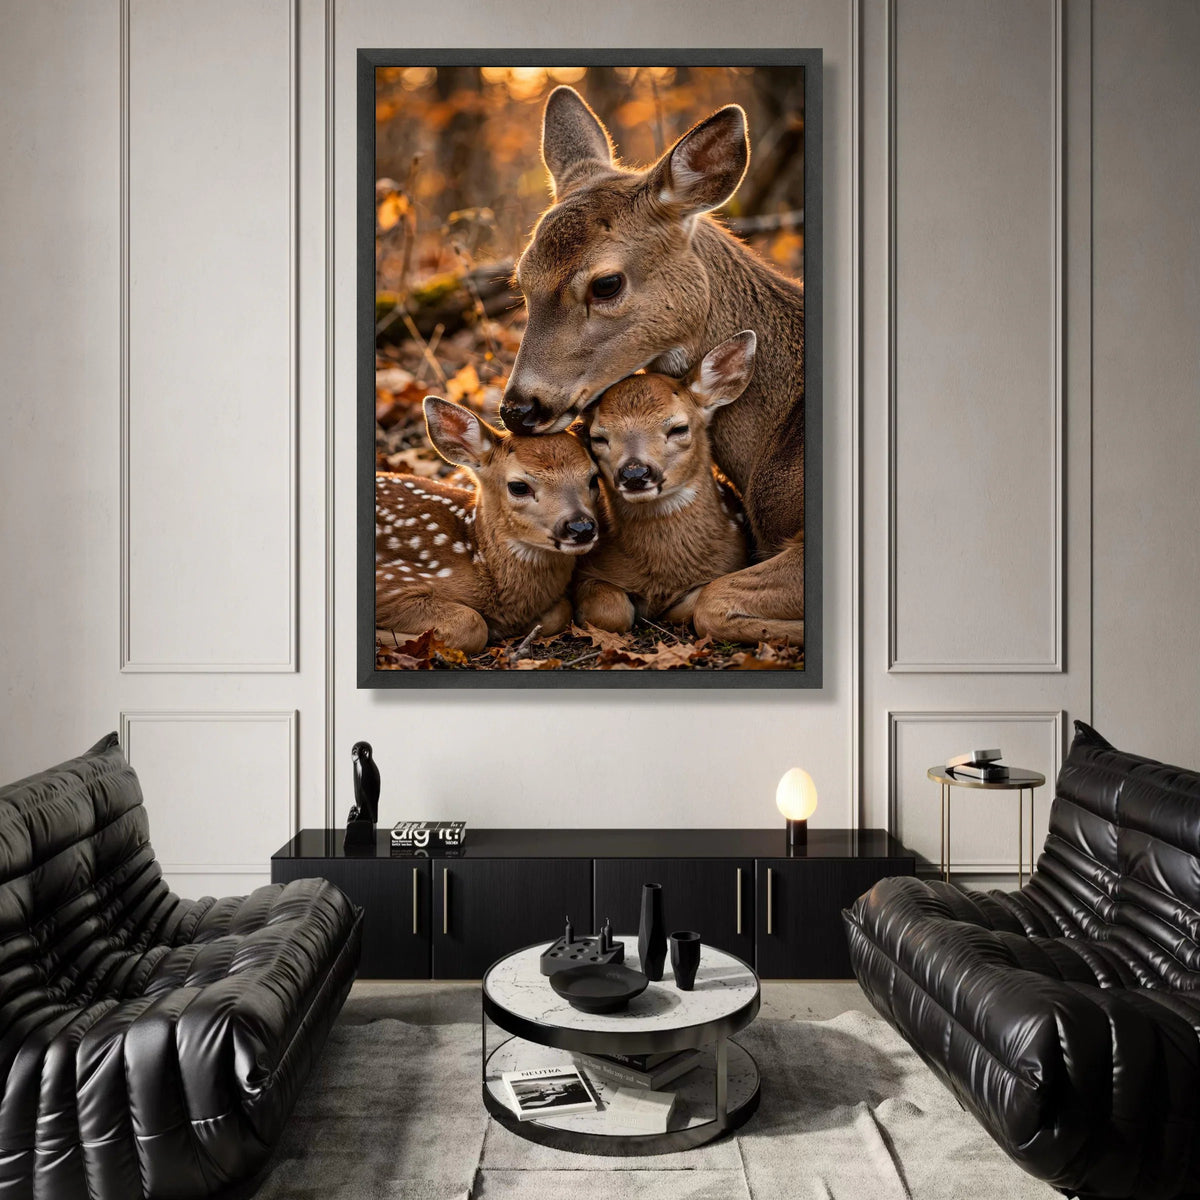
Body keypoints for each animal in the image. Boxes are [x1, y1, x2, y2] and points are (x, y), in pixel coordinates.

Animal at [375, 396, 599, 654]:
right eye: (518, 487)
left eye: (594, 479)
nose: (581, 527)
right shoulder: (391, 580)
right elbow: (472, 624)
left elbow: (560, 612)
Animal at [575, 331, 755, 632]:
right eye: (597, 437)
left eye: (679, 428)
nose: (634, 474)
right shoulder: (586, 571)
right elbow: (612, 611)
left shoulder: (730, 562)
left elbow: (692, 604)